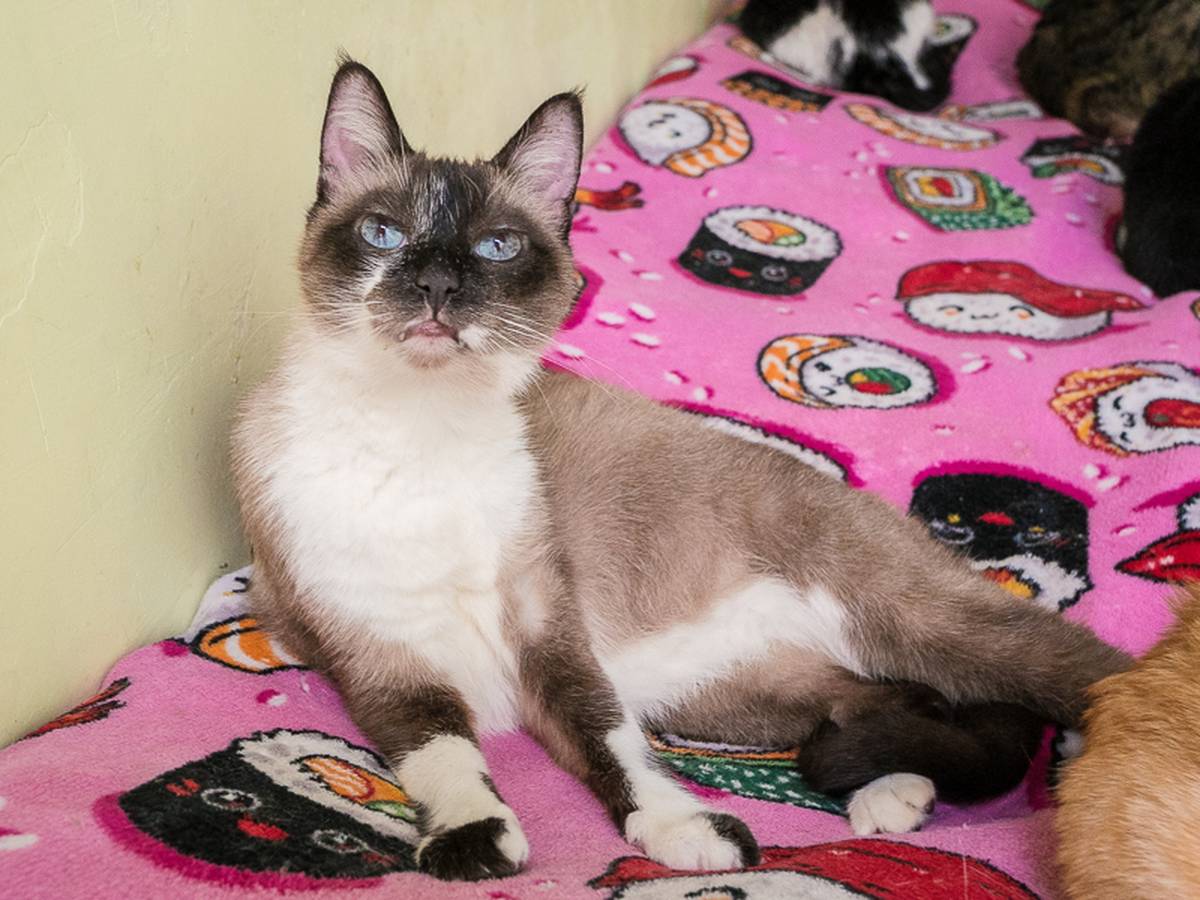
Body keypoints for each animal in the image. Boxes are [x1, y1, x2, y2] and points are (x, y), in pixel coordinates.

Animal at [231, 59, 1132, 881]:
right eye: (384, 235)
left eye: (496, 247)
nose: (437, 286)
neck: (419, 435)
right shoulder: (383, 662)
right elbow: (441, 757)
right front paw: (474, 842)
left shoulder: (552, 637)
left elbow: (610, 743)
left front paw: (681, 833)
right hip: (737, 698)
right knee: (898, 703)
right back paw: (893, 796)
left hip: (914, 624)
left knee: (1071, 680)